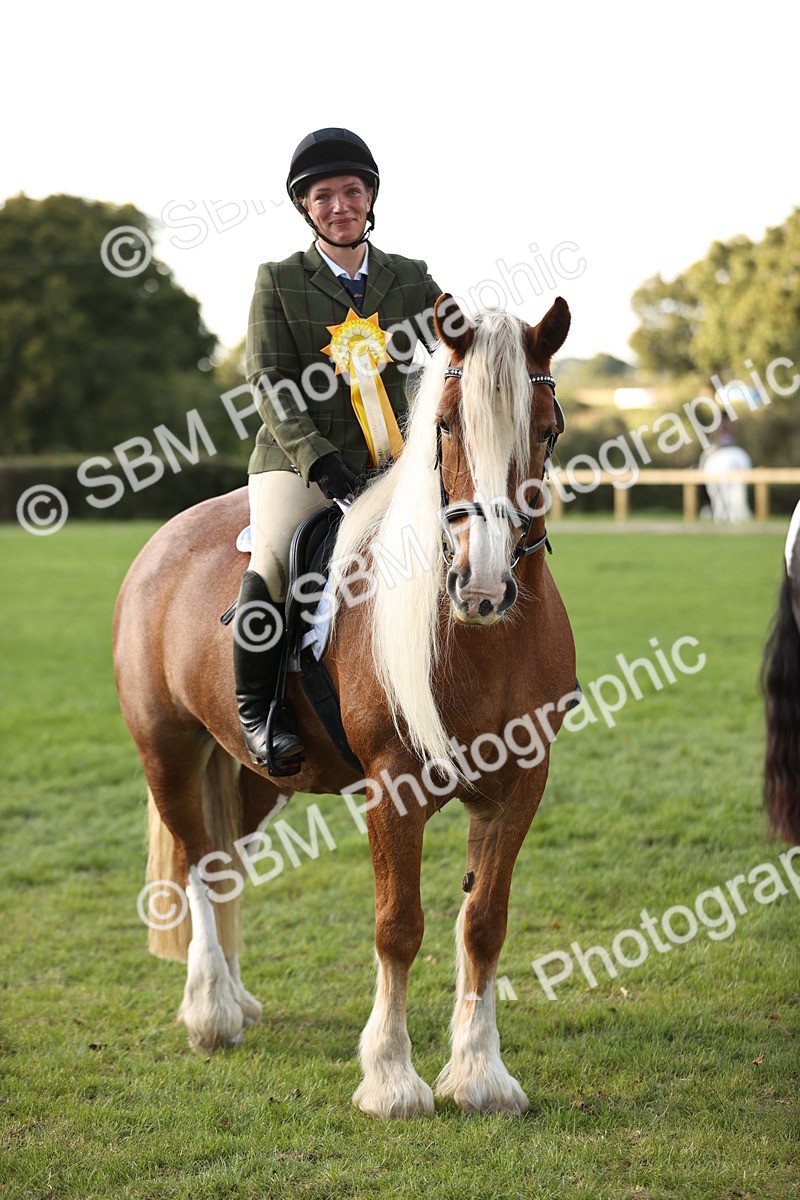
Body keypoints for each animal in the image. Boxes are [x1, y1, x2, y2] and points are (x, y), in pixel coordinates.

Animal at [112, 292, 576, 1118]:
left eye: (547, 429)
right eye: (445, 425)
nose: (483, 589)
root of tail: (163, 539)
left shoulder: (521, 784)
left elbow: (484, 924)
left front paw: (481, 1075)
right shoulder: (394, 788)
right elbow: (398, 927)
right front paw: (392, 1079)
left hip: (255, 775)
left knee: (226, 862)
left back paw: (236, 1000)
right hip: (166, 750)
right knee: (199, 863)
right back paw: (211, 1012)